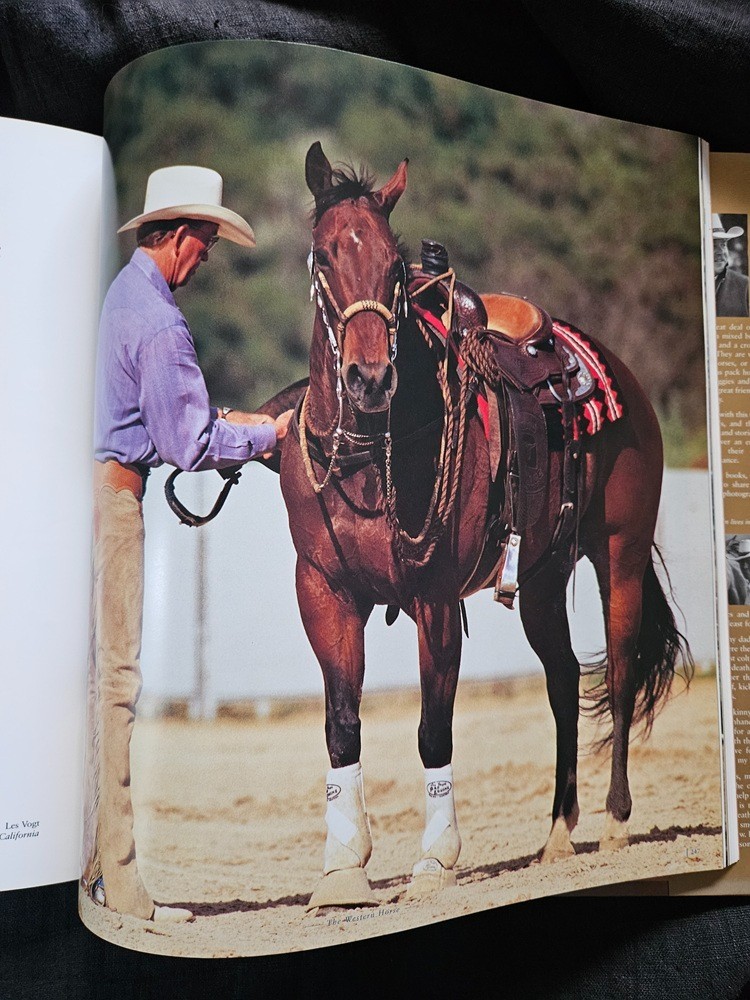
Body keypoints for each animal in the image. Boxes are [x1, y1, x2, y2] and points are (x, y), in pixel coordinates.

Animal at [259, 141, 692, 908]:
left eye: (394, 266)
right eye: (323, 257)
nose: (369, 377)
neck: (373, 453)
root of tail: (619, 374)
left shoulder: (434, 599)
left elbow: (434, 729)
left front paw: (436, 860)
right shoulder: (325, 593)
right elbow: (342, 725)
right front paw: (342, 868)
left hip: (619, 554)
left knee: (616, 669)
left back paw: (614, 824)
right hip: (545, 576)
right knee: (561, 682)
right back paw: (556, 835)